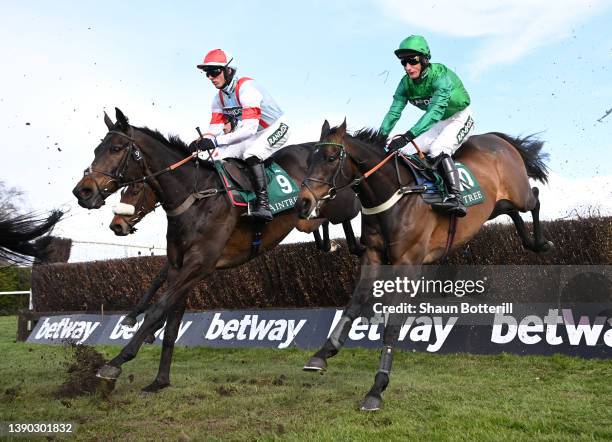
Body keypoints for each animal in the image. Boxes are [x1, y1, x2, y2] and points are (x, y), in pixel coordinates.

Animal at [71, 109, 360, 392]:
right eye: (97, 149)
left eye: (116, 148)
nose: (82, 191)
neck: (195, 197)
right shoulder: (180, 268)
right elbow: (171, 322)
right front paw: (160, 380)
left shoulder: (199, 264)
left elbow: (157, 311)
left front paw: (115, 363)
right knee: (319, 224)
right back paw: (329, 243)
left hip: (334, 198)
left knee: (350, 212)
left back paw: (351, 245)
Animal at [296, 120, 556, 410]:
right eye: (309, 160)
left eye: (331, 158)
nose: (303, 202)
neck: (394, 194)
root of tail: (496, 138)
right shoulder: (373, 256)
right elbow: (355, 303)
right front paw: (322, 354)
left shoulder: (408, 263)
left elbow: (393, 323)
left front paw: (377, 388)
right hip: (495, 207)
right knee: (511, 211)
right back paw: (531, 243)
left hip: (519, 193)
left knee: (534, 198)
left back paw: (542, 242)